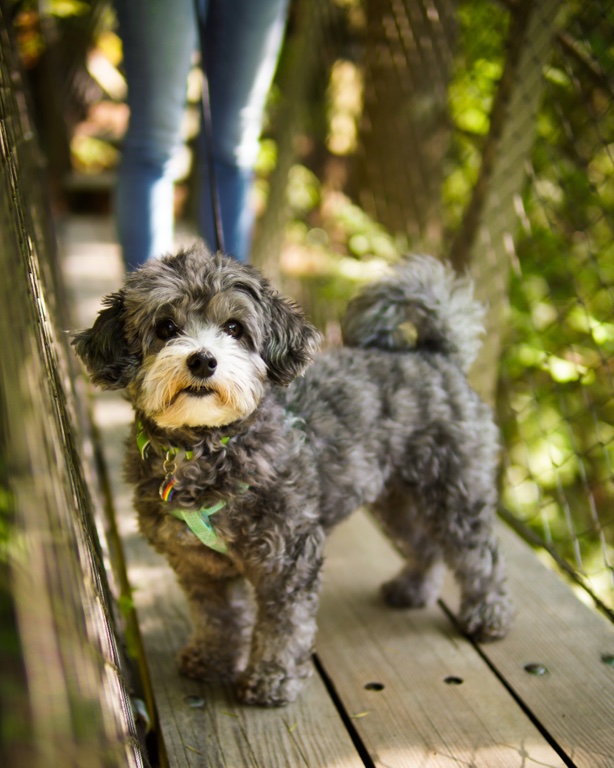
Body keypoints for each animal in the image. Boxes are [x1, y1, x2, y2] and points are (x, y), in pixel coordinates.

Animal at [73, 246, 516, 708]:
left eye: (234, 328)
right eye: (165, 328)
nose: (203, 359)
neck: (207, 449)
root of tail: (434, 353)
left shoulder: (290, 557)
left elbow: (283, 628)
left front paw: (272, 679)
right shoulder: (198, 566)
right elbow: (217, 616)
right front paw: (212, 659)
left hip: (455, 490)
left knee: (479, 554)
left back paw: (488, 615)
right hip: (396, 499)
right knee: (424, 543)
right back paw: (413, 589)